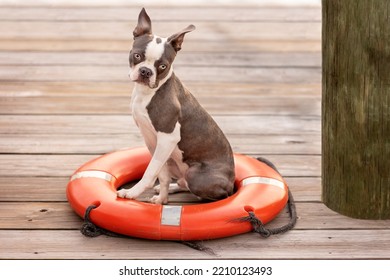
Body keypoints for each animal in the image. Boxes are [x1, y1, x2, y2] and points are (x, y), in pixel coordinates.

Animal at [116, 7, 235, 205]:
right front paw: (161, 200)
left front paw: (133, 192)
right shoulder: (153, 141)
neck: (147, 93)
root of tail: (231, 182)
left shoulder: (167, 138)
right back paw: (172, 188)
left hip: (195, 174)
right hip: (173, 160)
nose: (146, 71)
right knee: (181, 181)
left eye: (163, 66)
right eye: (137, 55)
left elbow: (150, 171)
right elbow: (161, 174)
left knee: (215, 194)